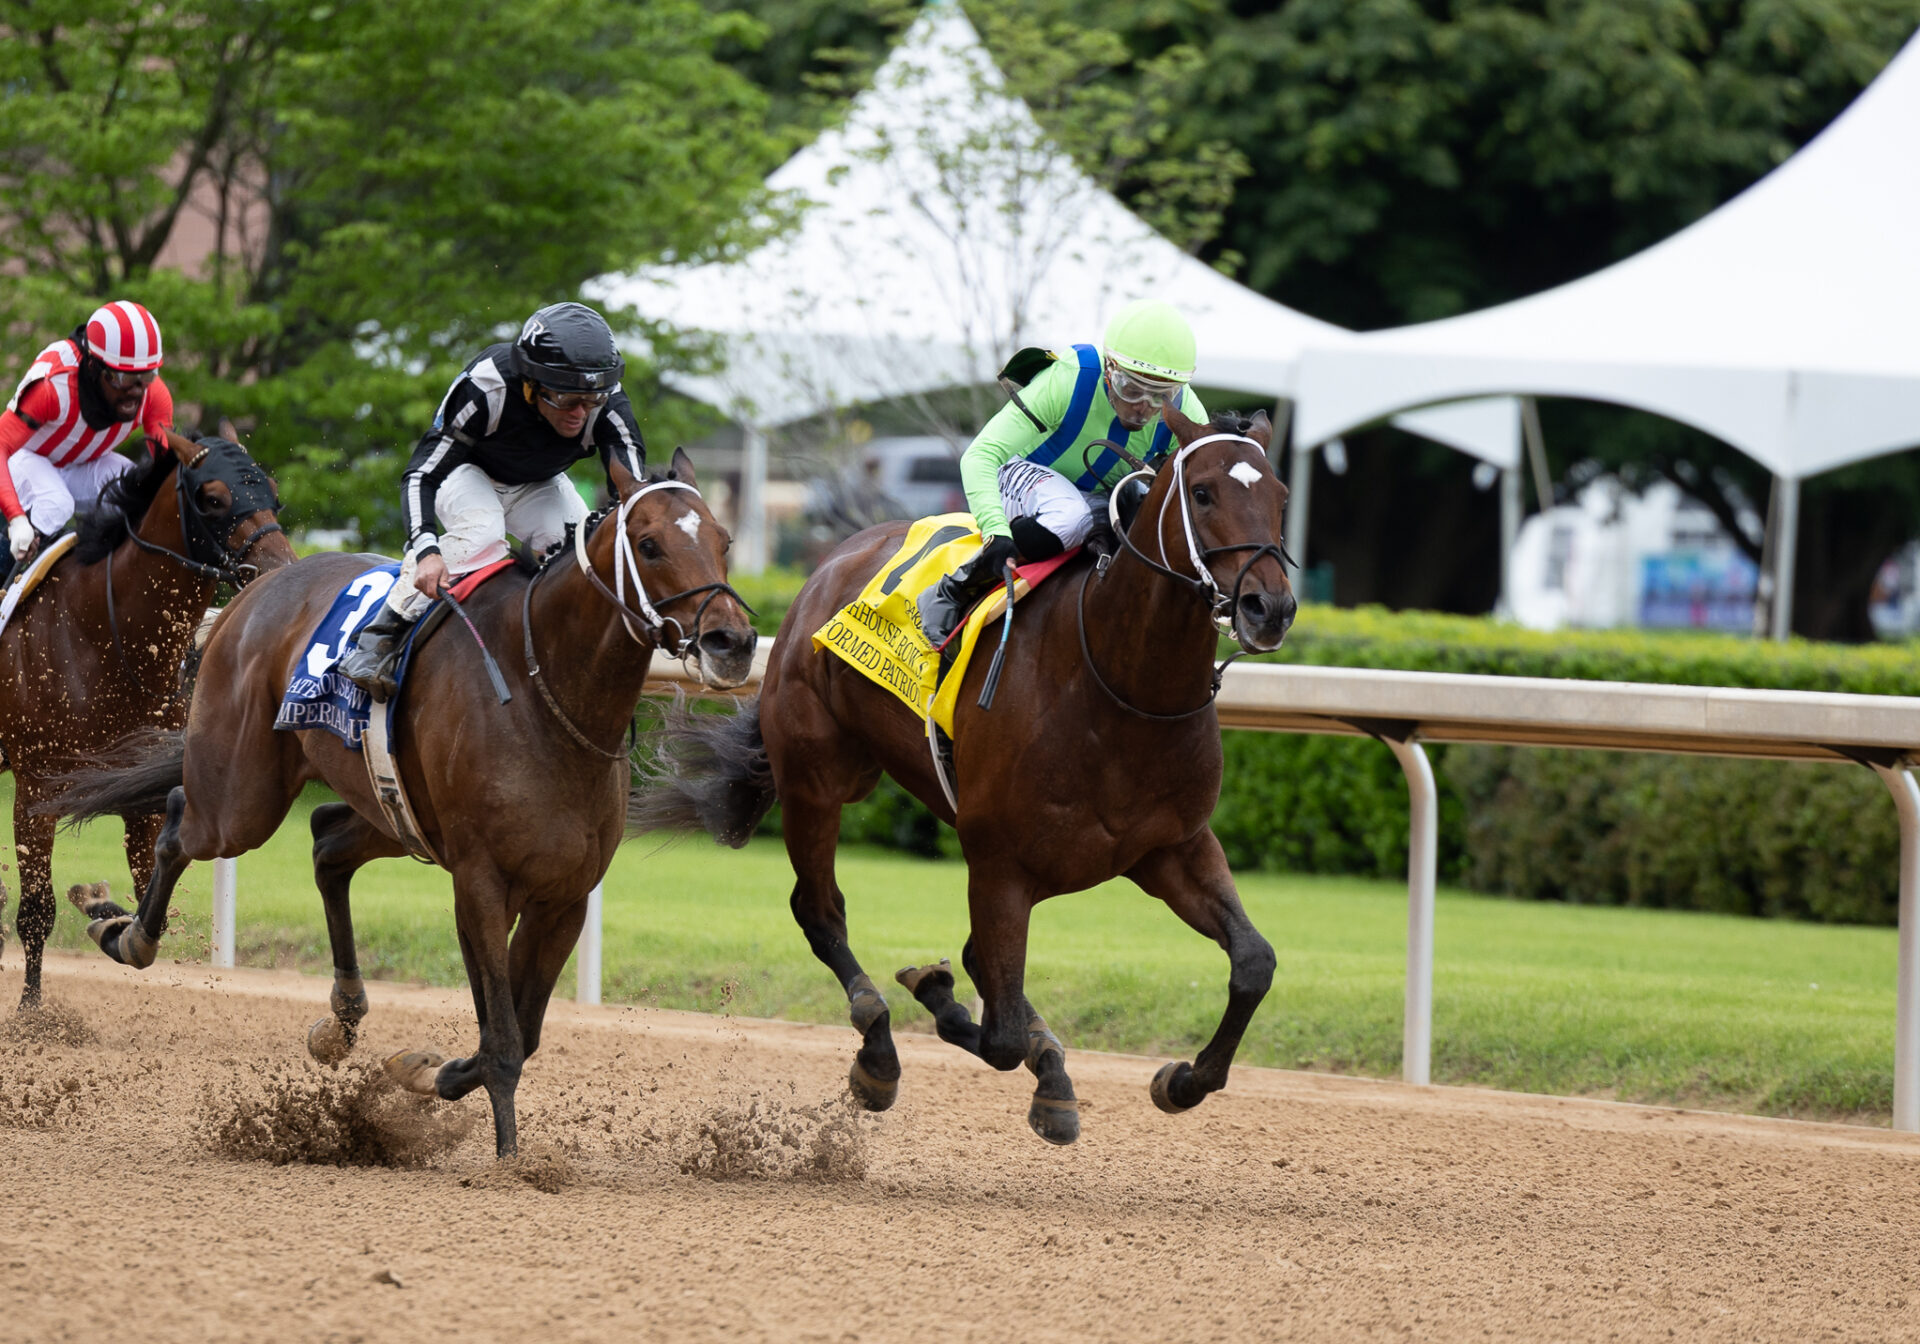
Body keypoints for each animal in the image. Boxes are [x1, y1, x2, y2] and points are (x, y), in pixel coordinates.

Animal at [0, 437, 291, 1006]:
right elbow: (37, 912)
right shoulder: (36, 789)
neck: (100, 635)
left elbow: (145, 894)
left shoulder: (139, 796)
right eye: (213, 498)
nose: (280, 568)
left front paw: (100, 907)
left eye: (271, 491)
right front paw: (32, 1014)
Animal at [52, 451, 756, 1152]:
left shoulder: (564, 894)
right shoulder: (481, 881)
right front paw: (509, 1159)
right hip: (241, 800)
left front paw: (425, 1071)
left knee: (326, 842)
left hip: (388, 813)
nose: (733, 643)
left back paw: (340, 1017)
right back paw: (122, 931)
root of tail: (253, 590)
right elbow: (502, 1039)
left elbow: (518, 1032)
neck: (546, 692)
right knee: (179, 823)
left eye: (724, 540)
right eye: (650, 544)